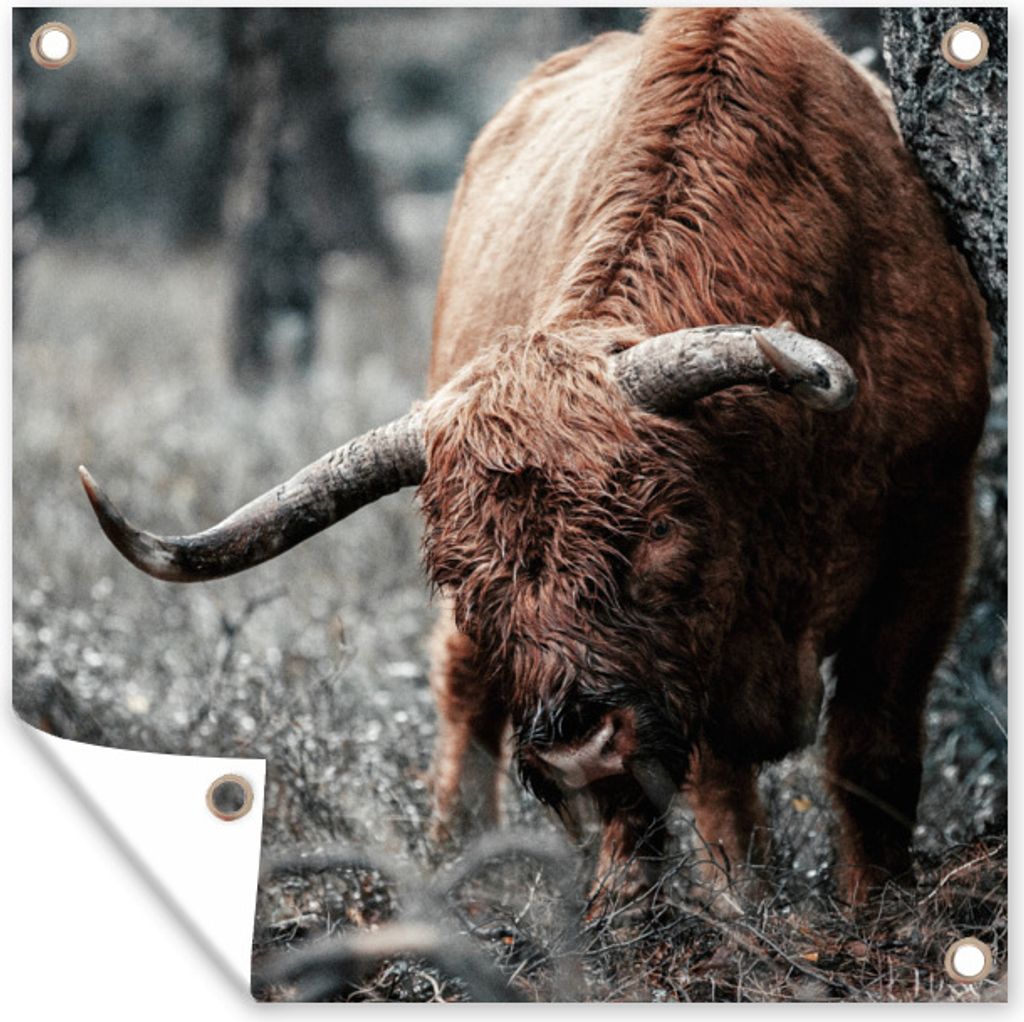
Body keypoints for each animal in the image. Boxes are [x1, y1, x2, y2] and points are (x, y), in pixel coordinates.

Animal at [80, 8, 990, 908]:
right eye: (462, 577)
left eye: (659, 531)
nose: (574, 754)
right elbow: (693, 796)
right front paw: (670, 910)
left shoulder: (928, 536)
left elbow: (871, 751)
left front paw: (874, 904)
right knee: (464, 690)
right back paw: (466, 858)